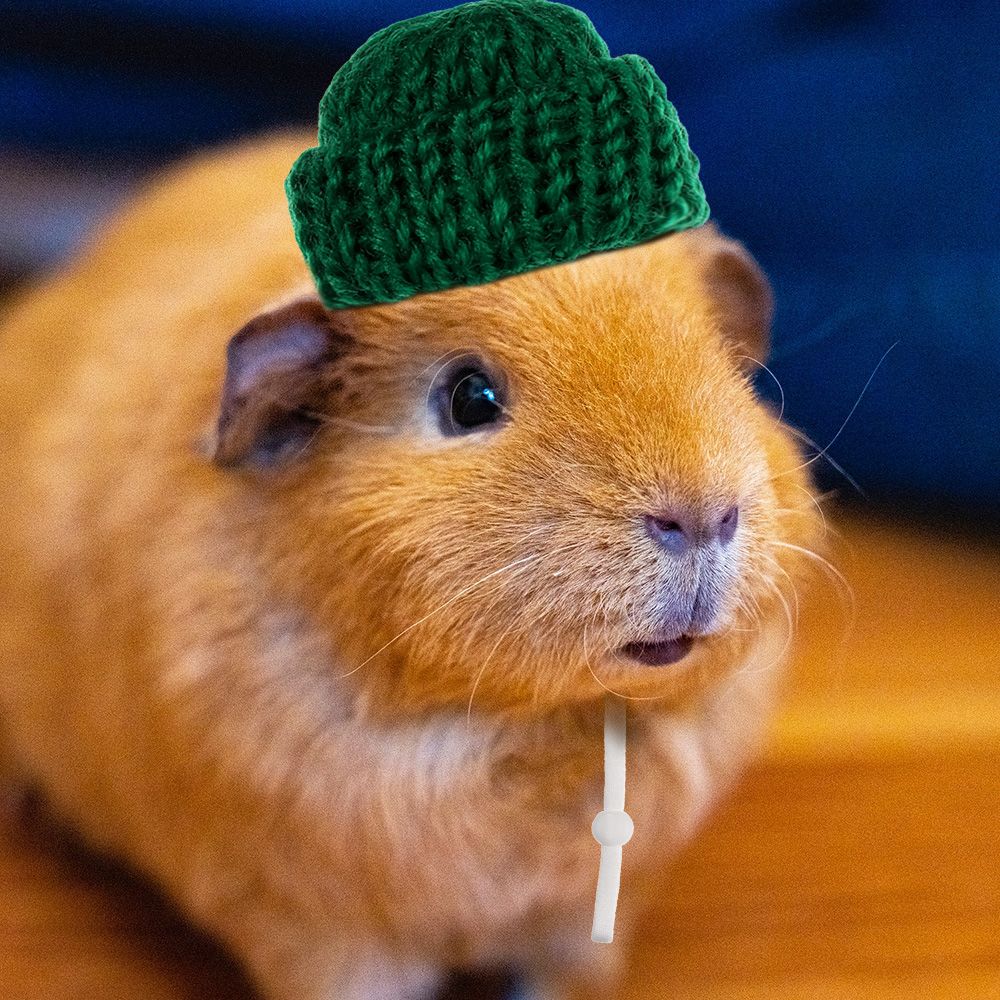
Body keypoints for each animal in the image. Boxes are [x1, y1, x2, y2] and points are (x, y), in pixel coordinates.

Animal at [0, 133, 819, 1000]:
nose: (702, 513)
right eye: (470, 398)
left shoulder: (581, 925)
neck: (542, 728)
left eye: (719, 361)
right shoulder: (316, 927)